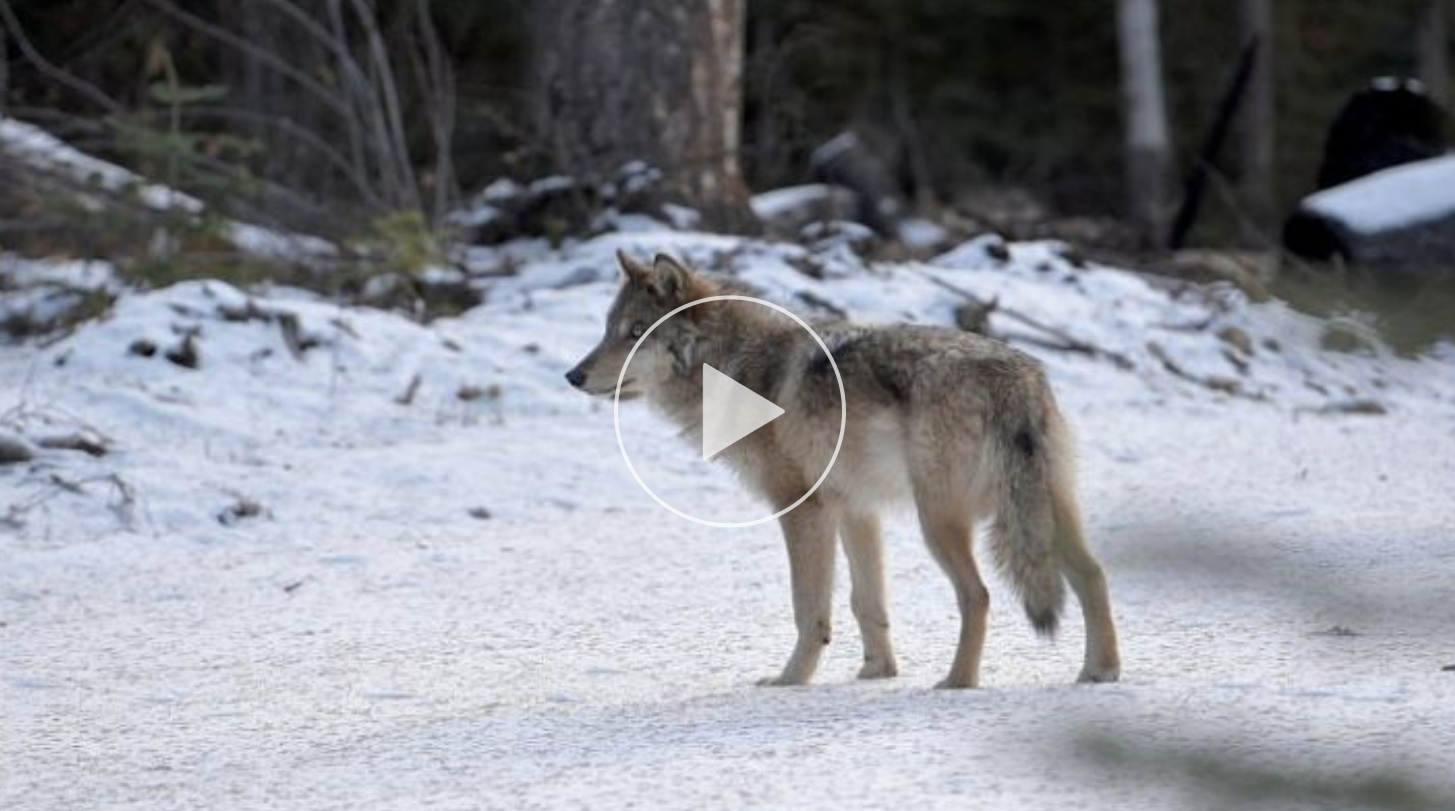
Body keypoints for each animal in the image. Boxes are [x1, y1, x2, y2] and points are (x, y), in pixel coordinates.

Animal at [561, 250, 1117, 687]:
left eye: (636, 333)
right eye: (608, 331)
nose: (572, 375)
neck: (731, 367)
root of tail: (1014, 376)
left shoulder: (800, 508)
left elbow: (809, 608)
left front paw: (790, 680)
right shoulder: (855, 510)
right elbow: (866, 603)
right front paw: (877, 672)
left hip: (938, 524)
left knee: (978, 596)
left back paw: (957, 682)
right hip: (1044, 514)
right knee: (1093, 574)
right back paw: (1101, 671)